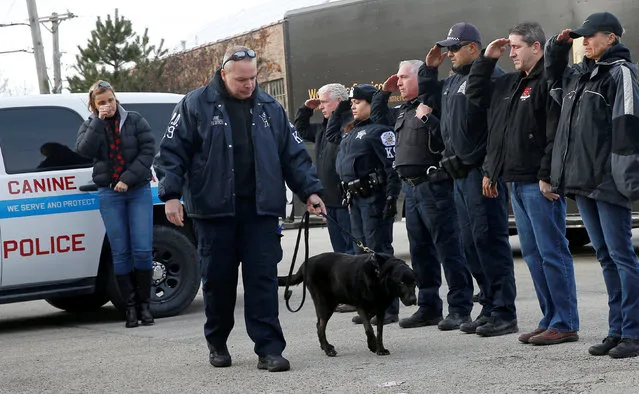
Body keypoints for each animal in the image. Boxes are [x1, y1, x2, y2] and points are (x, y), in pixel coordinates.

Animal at [278, 252, 418, 358]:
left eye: (414, 282)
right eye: (401, 282)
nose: (413, 299)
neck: (379, 274)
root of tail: (304, 264)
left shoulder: (380, 309)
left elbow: (379, 331)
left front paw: (380, 349)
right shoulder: (361, 306)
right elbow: (369, 328)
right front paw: (372, 345)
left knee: (319, 325)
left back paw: (325, 346)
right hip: (325, 304)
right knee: (320, 326)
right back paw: (328, 350)